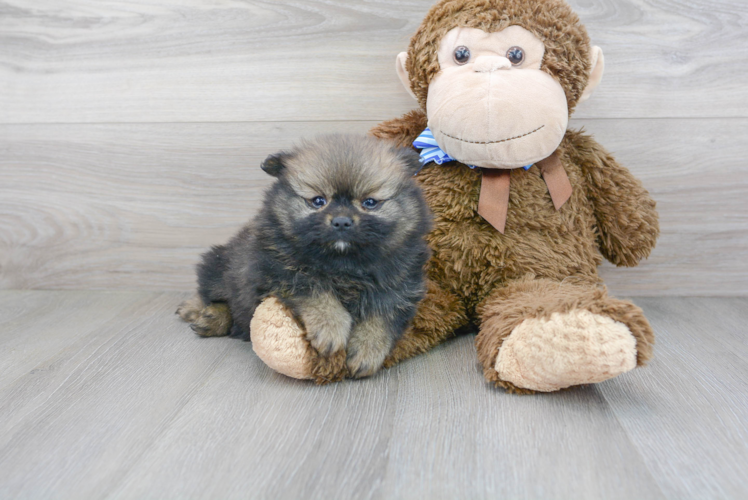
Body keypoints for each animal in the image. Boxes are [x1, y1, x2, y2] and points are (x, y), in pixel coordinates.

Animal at [177, 135, 432, 376]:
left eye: (370, 202)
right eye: (318, 201)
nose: (342, 221)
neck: (343, 264)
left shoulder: (397, 288)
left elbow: (380, 318)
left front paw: (368, 349)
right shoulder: (282, 271)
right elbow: (318, 292)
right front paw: (330, 327)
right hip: (219, 266)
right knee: (214, 295)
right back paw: (201, 313)